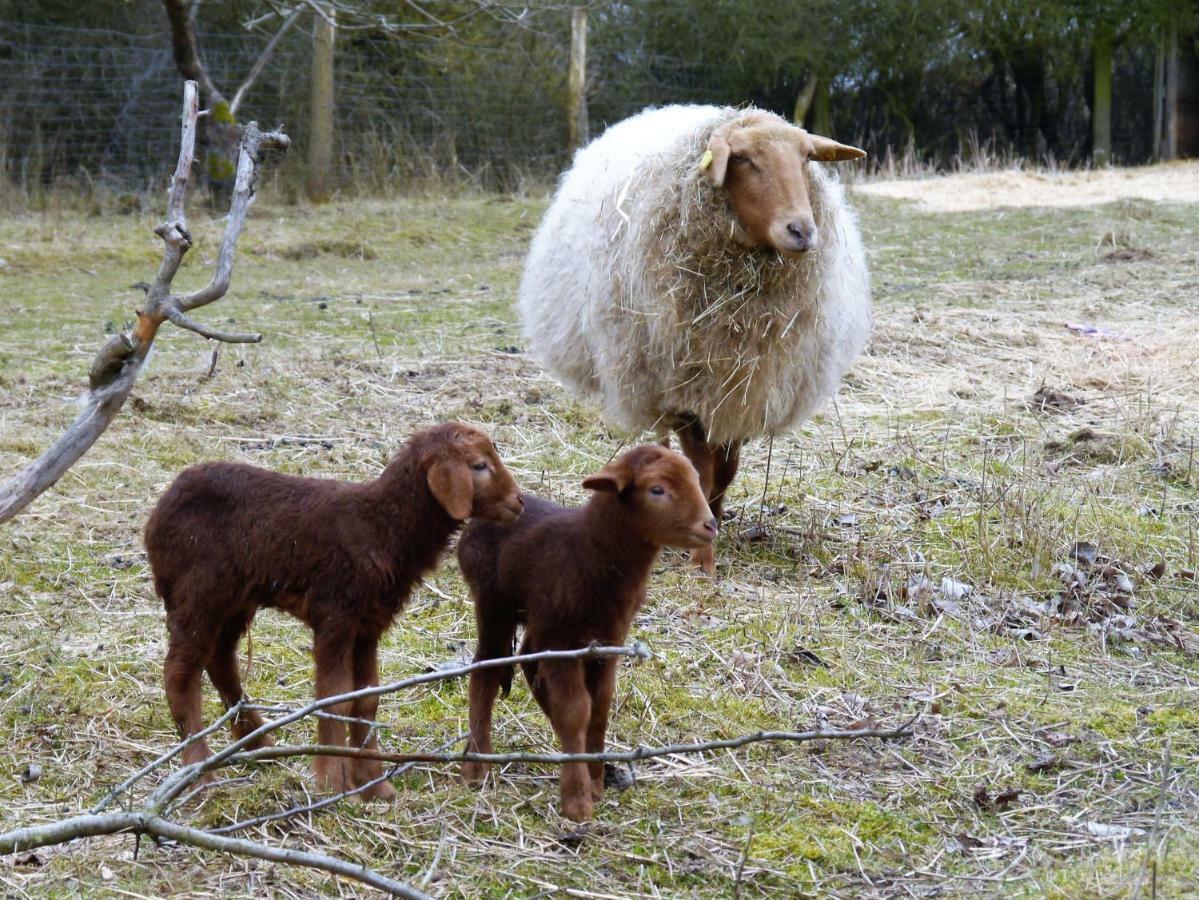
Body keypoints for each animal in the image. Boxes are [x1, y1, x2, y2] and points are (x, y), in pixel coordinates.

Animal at [145, 419, 520, 800]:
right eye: (478, 465)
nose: (518, 502)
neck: (383, 526)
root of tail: (159, 512)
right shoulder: (335, 614)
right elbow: (334, 698)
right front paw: (333, 783)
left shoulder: (368, 624)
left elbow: (365, 699)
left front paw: (374, 785)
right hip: (198, 589)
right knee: (180, 674)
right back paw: (200, 774)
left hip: (236, 598)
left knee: (219, 659)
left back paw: (258, 745)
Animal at [455, 445, 709, 824]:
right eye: (657, 490)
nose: (710, 525)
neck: (590, 553)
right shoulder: (561, 637)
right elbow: (575, 709)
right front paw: (577, 801)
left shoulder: (608, 639)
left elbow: (599, 705)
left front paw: (594, 780)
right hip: (494, 603)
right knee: (486, 667)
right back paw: (477, 766)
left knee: (528, 661)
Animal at [520, 103, 868, 570]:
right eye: (743, 158)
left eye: (806, 158)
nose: (802, 231)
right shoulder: (686, 392)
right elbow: (701, 470)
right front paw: (702, 555)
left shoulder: (740, 389)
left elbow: (726, 470)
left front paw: (714, 519)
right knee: (666, 444)